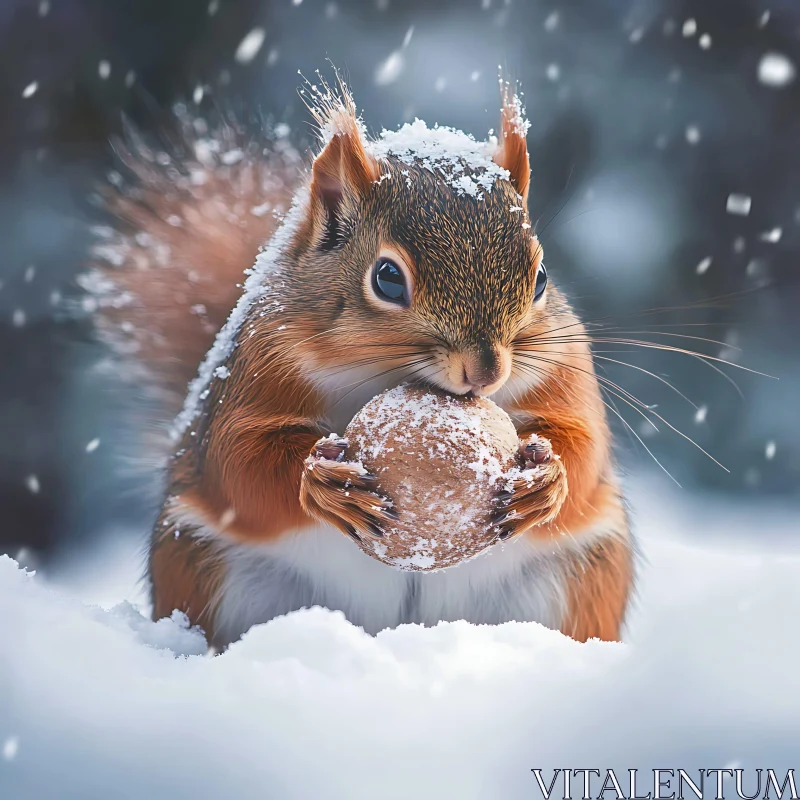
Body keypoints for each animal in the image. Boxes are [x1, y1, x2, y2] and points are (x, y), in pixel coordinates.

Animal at [85, 80, 633, 649]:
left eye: (542, 277)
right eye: (388, 279)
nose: (486, 372)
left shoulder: (564, 369)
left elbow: (583, 443)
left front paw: (547, 480)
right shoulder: (256, 368)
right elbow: (239, 461)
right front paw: (323, 483)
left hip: (582, 577)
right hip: (200, 563)